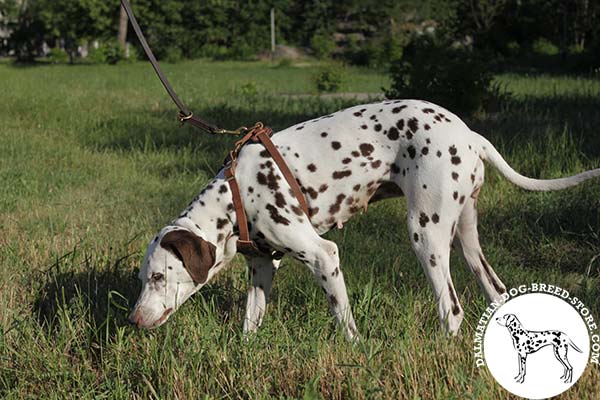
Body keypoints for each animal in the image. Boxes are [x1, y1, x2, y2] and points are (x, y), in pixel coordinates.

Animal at [127, 98, 600, 340]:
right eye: (143, 278)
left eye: (158, 277)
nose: (133, 320)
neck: (236, 196)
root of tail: (469, 134)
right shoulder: (263, 266)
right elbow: (250, 323)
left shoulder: (324, 256)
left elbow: (344, 320)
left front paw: (353, 349)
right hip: (464, 237)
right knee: (496, 292)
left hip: (426, 236)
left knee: (452, 309)